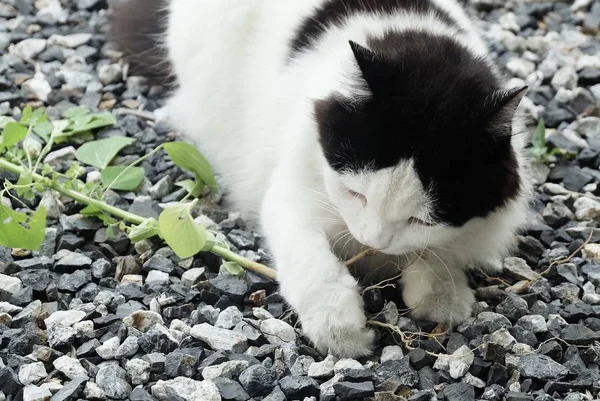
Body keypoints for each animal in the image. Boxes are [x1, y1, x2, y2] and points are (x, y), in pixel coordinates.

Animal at [113, 0, 536, 356]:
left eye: (420, 219)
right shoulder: (290, 195)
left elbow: (437, 251)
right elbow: (314, 265)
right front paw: (342, 332)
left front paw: (441, 298)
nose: (373, 241)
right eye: (356, 195)